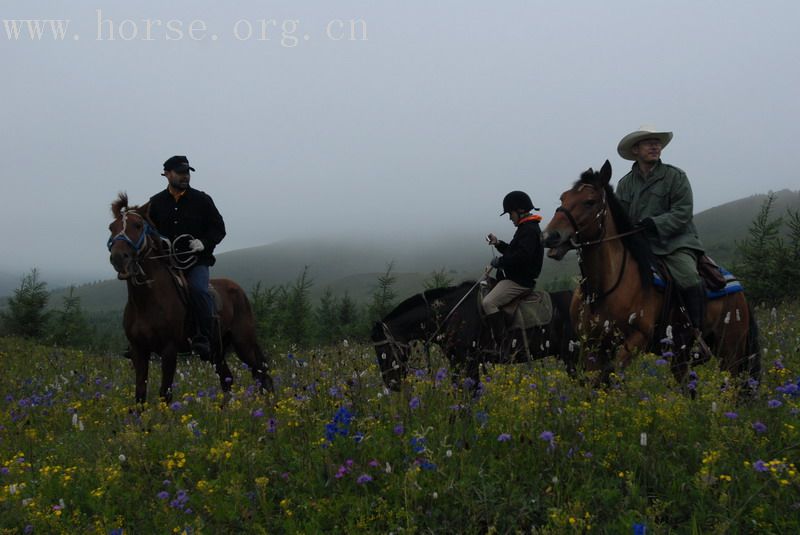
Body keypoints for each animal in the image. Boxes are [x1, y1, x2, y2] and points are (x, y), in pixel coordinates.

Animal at [108, 195, 274, 404]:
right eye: (111, 227)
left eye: (137, 225)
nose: (118, 258)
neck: (145, 301)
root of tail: (239, 290)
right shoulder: (139, 351)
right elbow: (140, 395)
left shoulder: (169, 350)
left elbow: (165, 393)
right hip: (216, 351)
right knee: (227, 379)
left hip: (243, 342)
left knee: (261, 373)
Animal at [540, 161, 760, 388]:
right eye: (563, 198)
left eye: (589, 202)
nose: (550, 236)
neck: (600, 289)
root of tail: (736, 287)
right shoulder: (592, 345)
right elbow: (597, 381)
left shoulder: (639, 337)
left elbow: (615, 371)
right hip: (680, 354)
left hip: (731, 350)